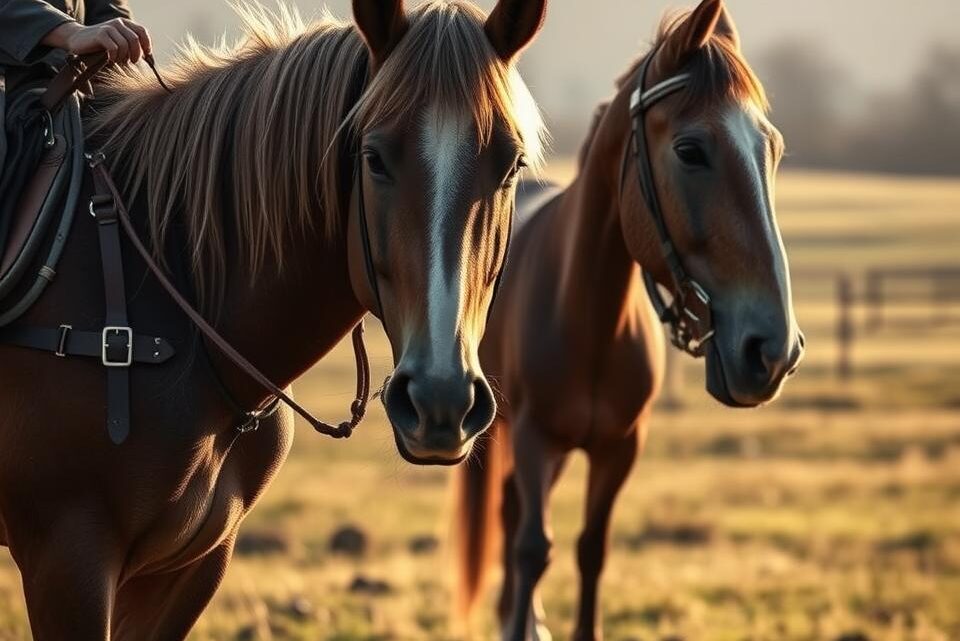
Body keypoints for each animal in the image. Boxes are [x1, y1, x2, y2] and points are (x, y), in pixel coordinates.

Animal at [453, 1, 805, 639]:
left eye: (772, 149)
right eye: (691, 150)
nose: (773, 351)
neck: (587, 318)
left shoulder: (619, 449)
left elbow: (592, 548)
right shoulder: (535, 437)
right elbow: (532, 547)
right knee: (512, 515)